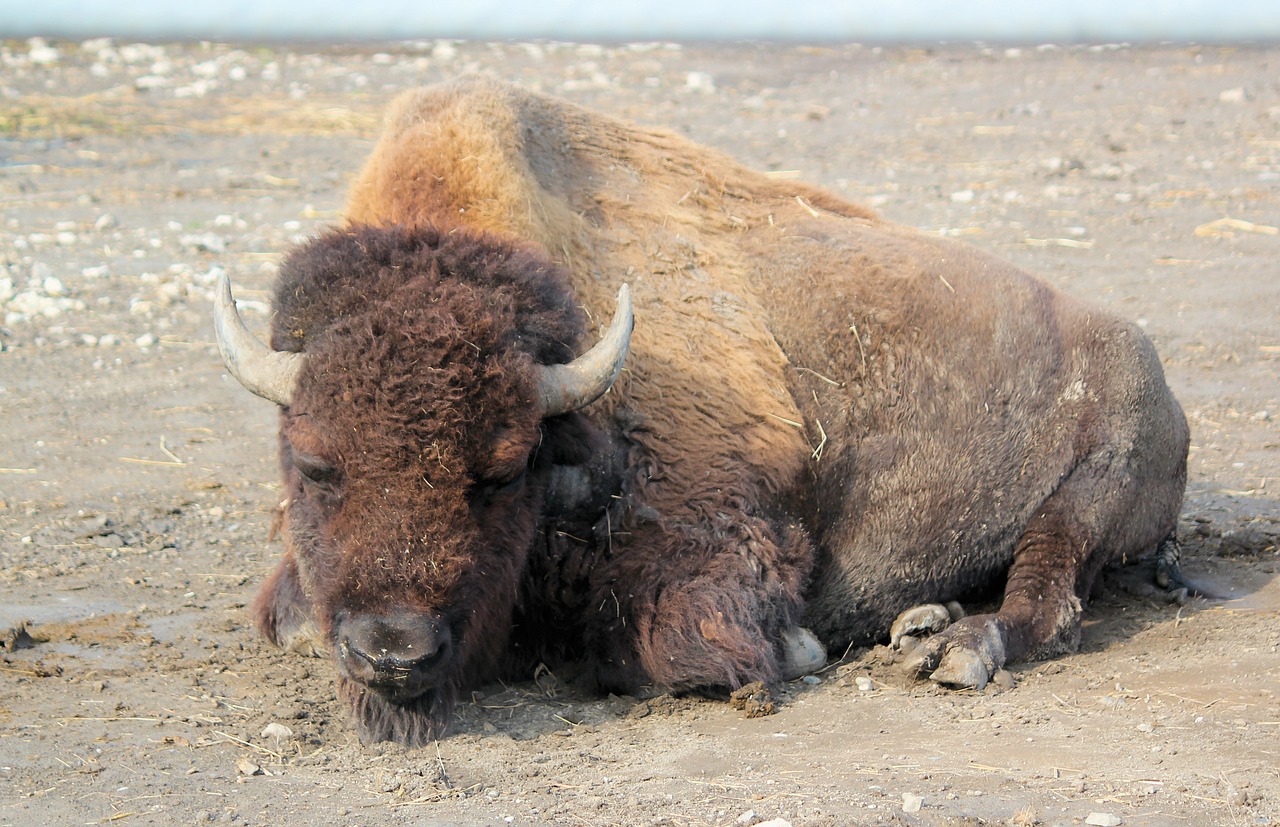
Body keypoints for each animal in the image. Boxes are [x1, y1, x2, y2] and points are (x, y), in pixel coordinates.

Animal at [212, 77, 1187, 747]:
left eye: (505, 469)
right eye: (313, 464)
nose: (393, 652)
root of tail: (1157, 373)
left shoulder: (715, 535)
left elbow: (670, 647)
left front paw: (798, 648)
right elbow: (291, 620)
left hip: (1091, 495)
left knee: (1046, 599)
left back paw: (953, 650)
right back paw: (921, 622)